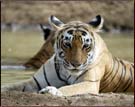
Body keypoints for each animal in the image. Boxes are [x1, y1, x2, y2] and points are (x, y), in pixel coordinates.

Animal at [1, 14, 134, 96]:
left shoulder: (89, 83)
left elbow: (70, 88)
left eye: (86, 46)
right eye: (67, 44)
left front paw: (51, 91)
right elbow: (11, 86)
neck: (65, 71)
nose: (76, 64)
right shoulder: (34, 82)